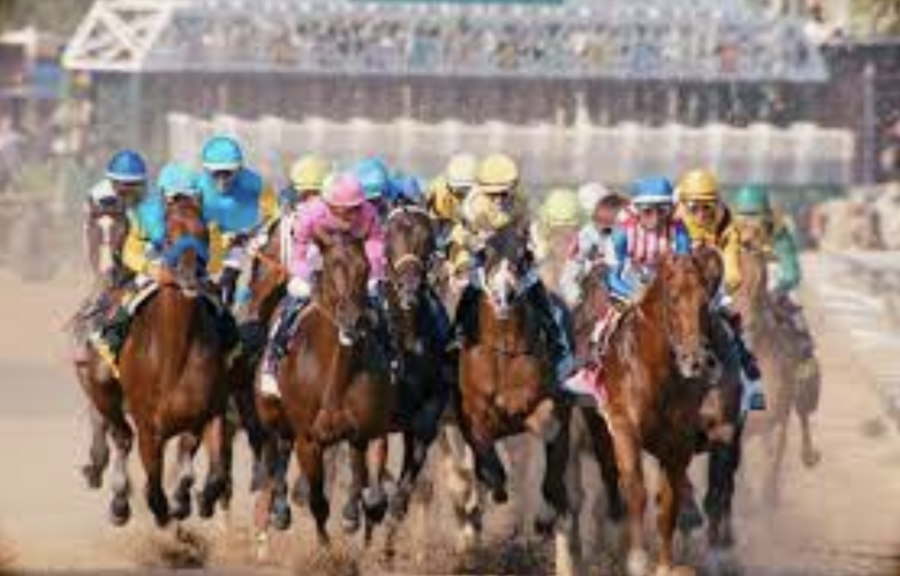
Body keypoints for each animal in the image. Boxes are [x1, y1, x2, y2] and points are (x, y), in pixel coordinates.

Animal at [251, 232, 396, 548]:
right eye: (331, 267)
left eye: (365, 267)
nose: (354, 319)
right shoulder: (309, 439)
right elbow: (318, 501)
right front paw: (325, 549)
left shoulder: (368, 431)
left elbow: (370, 489)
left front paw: (357, 516)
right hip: (273, 416)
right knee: (277, 453)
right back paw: (277, 511)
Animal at [596, 249, 728, 576]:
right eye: (674, 298)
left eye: (705, 300)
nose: (696, 360)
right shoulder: (624, 427)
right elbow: (635, 488)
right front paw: (637, 558)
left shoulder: (678, 444)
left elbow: (668, 504)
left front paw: (666, 565)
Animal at [732, 220, 824, 504]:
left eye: (760, 279)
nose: (745, 323)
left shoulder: (778, 411)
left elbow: (775, 455)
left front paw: (767, 496)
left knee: (802, 416)